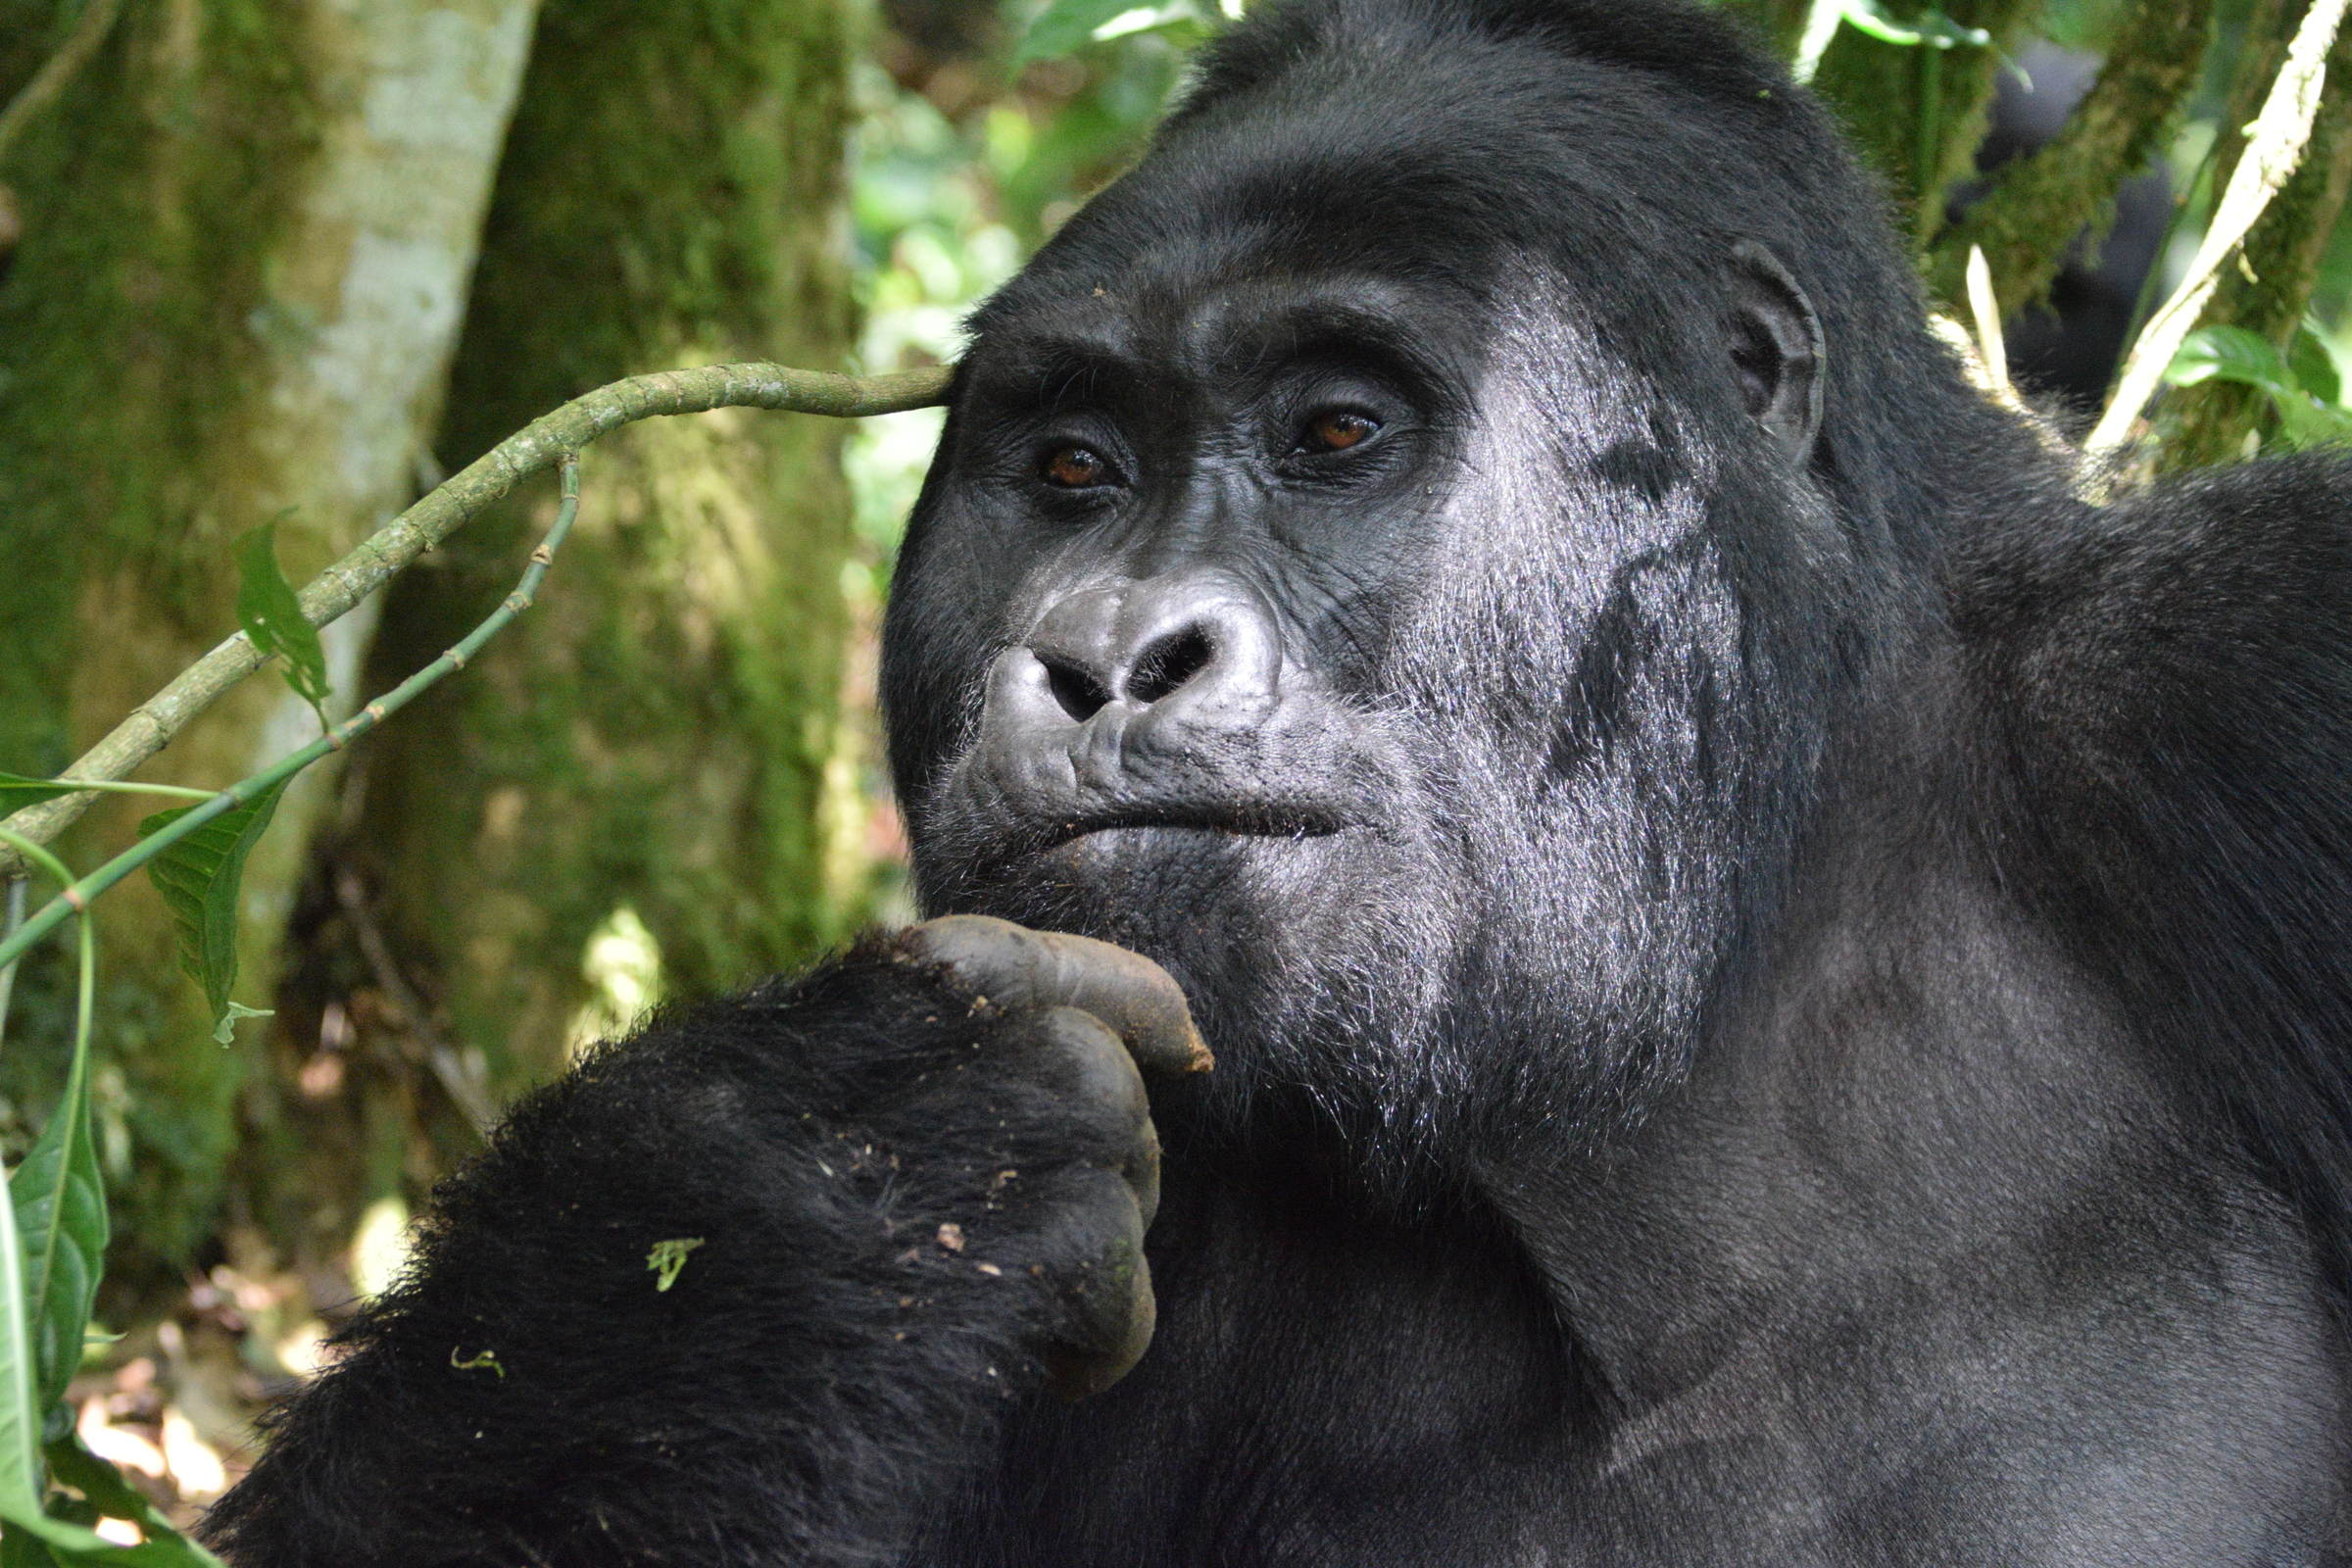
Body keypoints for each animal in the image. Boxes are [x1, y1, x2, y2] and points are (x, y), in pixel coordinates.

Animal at [207, 3, 2352, 1568]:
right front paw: (751, 1213)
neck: (1738, 983)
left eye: (1337, 432)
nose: (1107, 655)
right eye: (1073, 470)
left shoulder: (2249, 690)